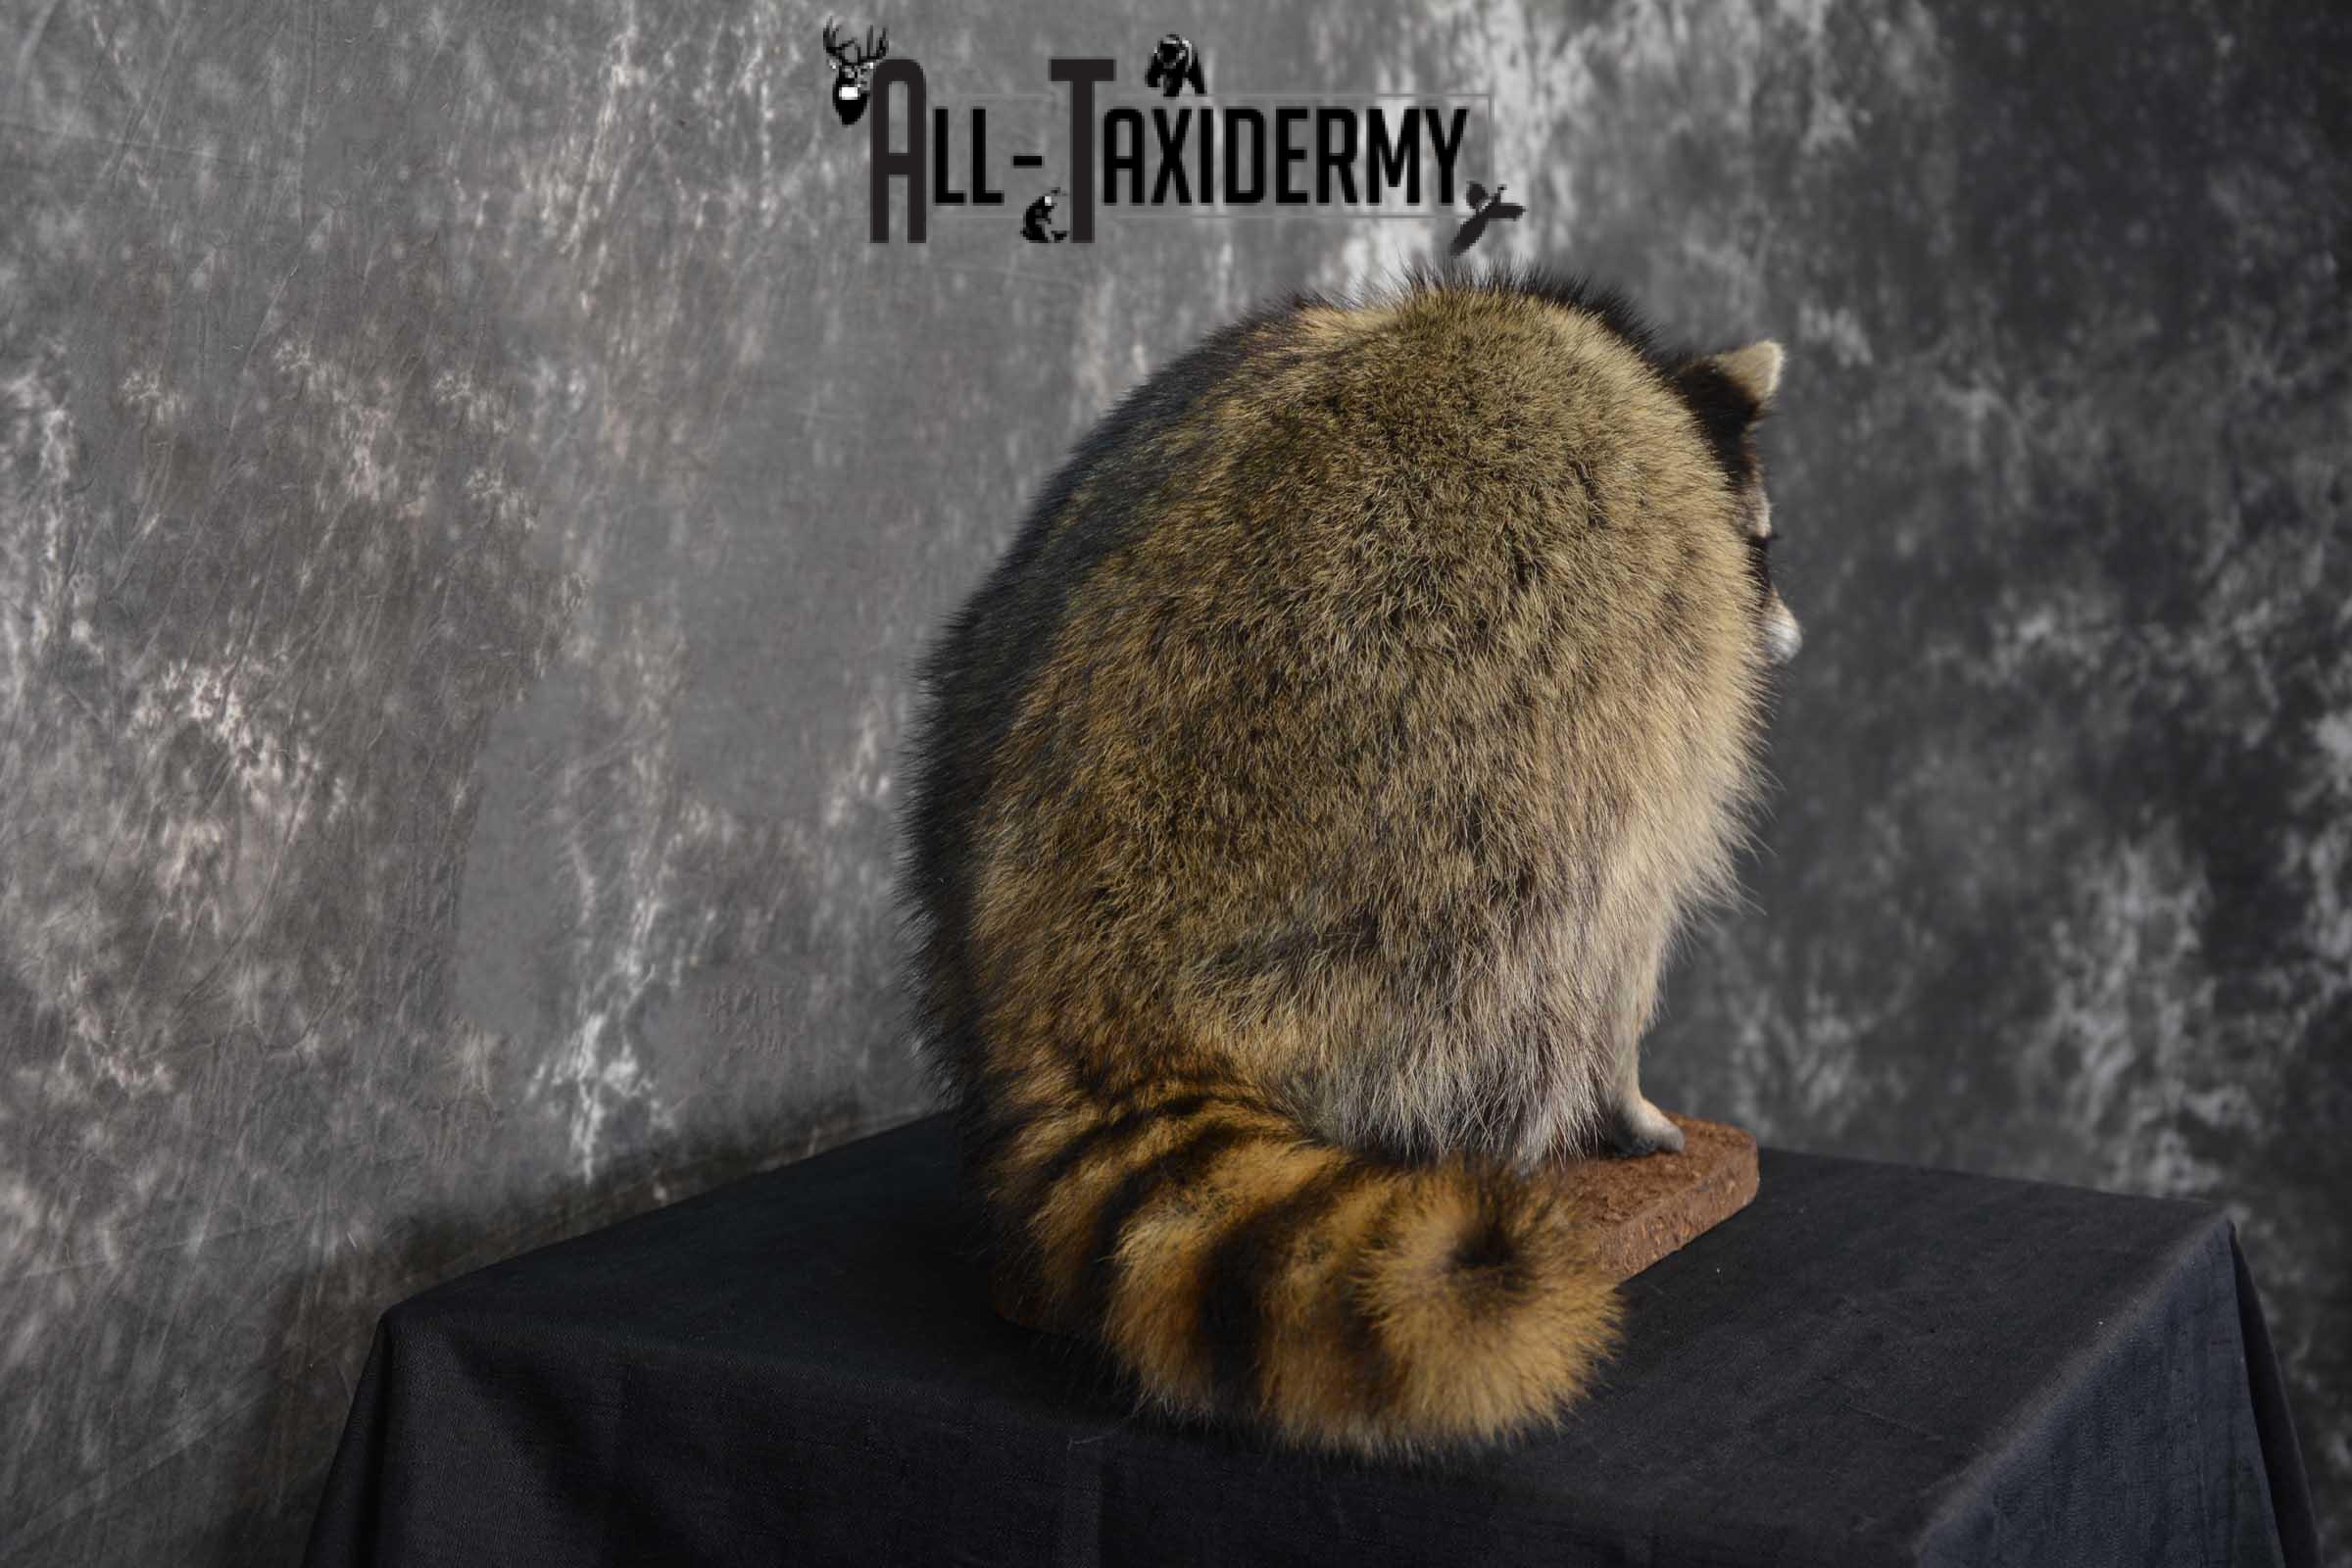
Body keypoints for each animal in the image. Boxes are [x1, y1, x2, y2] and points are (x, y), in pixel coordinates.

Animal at [898, 266, 1797, 1457]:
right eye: (1765, 543)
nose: (1787, 631)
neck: (1640, 373)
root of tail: (1069, 989)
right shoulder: (1666, 637)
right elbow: (1627, 919)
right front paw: (1627, 1096)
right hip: (1452, 821)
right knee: (1562, 922)